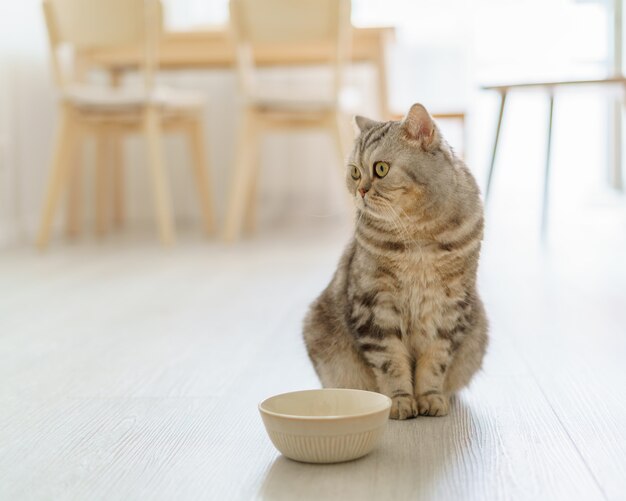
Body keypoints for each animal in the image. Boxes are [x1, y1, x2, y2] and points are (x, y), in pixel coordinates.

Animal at [302, 103, 488, 420]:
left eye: (380, 169)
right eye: (354, 172)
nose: (361, 190)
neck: (418, 234)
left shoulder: (450, 306)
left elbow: (435, 362)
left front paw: (430, 398)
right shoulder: (375, 304)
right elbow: (390, 362)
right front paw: (400, 402)